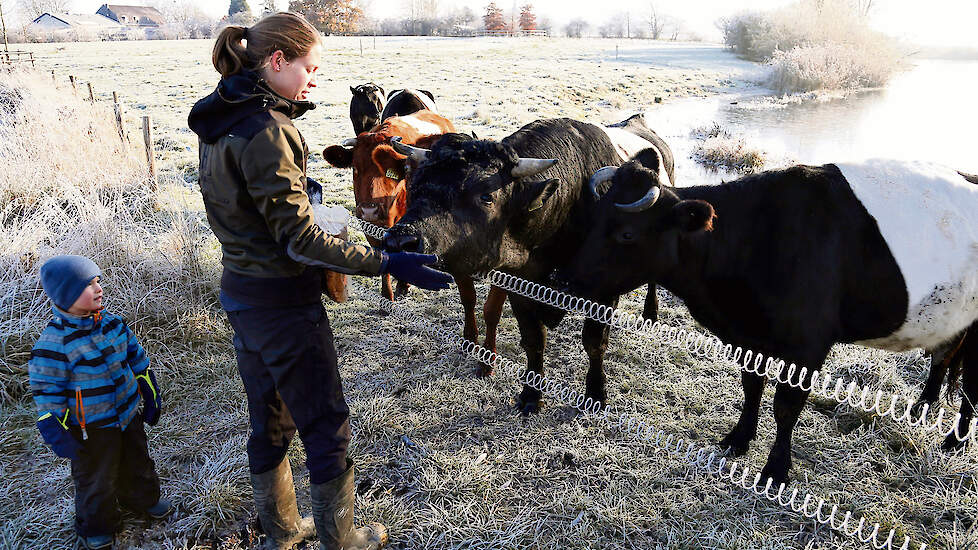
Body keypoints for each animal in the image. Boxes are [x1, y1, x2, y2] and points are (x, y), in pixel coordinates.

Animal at [386, 114, 676, 412]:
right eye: (415, 185)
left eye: (486, 196)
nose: (401, 240)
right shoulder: (519, 288)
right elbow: (534, 340)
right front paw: (531, 394)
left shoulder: (604, 294)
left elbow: (595, 343)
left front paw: (596, 393)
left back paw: (651, 312)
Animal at [560, 155, 976, 488]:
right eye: (591, 219)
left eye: (627, 233)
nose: (566, 279)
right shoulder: (747, 336)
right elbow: (751, 386)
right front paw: (739, 438)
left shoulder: (808, 344)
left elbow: (786, 405)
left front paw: (775, 470)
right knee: (945, 357)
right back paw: (922, 409)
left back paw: (954, 440)